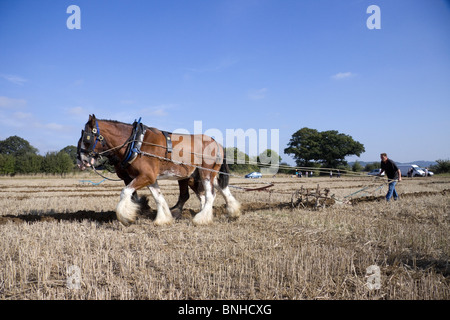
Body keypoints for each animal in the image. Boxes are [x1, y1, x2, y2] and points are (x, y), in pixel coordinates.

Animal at [75, 114, 241, 226]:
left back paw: (202, 218)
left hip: (206, 172)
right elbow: (158, 197)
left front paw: (126, 216)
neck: (136, 143)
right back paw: (233, 211)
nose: (81, 161)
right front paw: (163, 219)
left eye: (86, 138)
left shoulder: (145, 176)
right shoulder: (149, 178)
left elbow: (126, 192)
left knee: (210, 194)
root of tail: (217, 143)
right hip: (205, 174)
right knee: (222, 189)